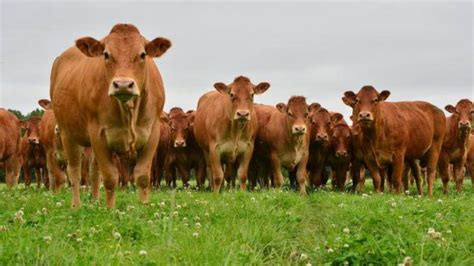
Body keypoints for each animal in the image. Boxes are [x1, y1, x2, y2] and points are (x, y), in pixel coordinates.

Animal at [51, 23, 170, 208]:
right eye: (106, 54)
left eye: (142, 54)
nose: (123, 85)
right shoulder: (98, 134)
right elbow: (110, 177)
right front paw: (110, 209)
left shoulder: (152, 133)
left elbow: (143, 176)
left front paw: (143, 206)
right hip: (67, 133)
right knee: (75, 171)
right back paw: (76, 205)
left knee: (93, 170)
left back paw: (95, 200)